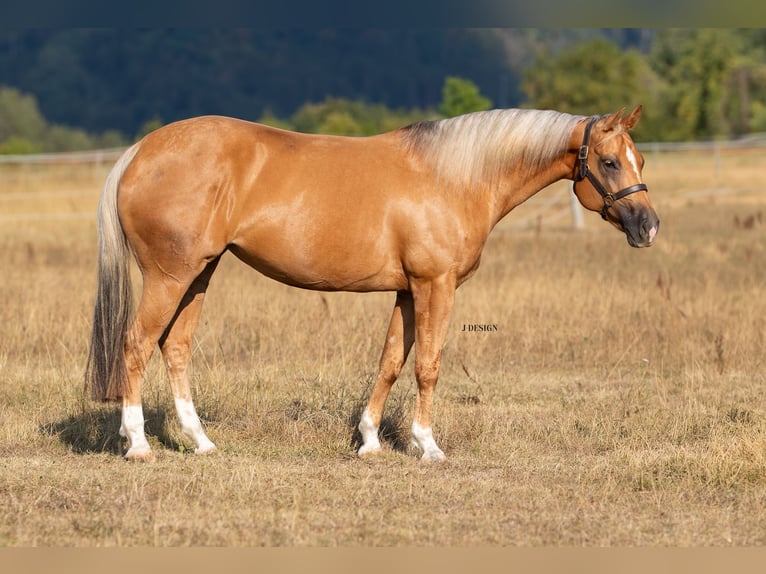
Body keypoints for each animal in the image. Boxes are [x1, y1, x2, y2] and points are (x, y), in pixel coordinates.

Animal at [86, 105, 659, 462]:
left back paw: (201, 441)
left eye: (639, 159)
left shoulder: (407, 290)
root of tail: (140, 152)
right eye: (609, 161)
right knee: (136, 345)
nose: (648, 226)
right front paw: (427, 446)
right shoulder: (435, 285)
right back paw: (138, 444)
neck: (454, 177)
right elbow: (427, 365)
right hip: (170, 275)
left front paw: (369, 441)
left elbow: (390, 361)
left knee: (175, 348)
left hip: (199, 273)